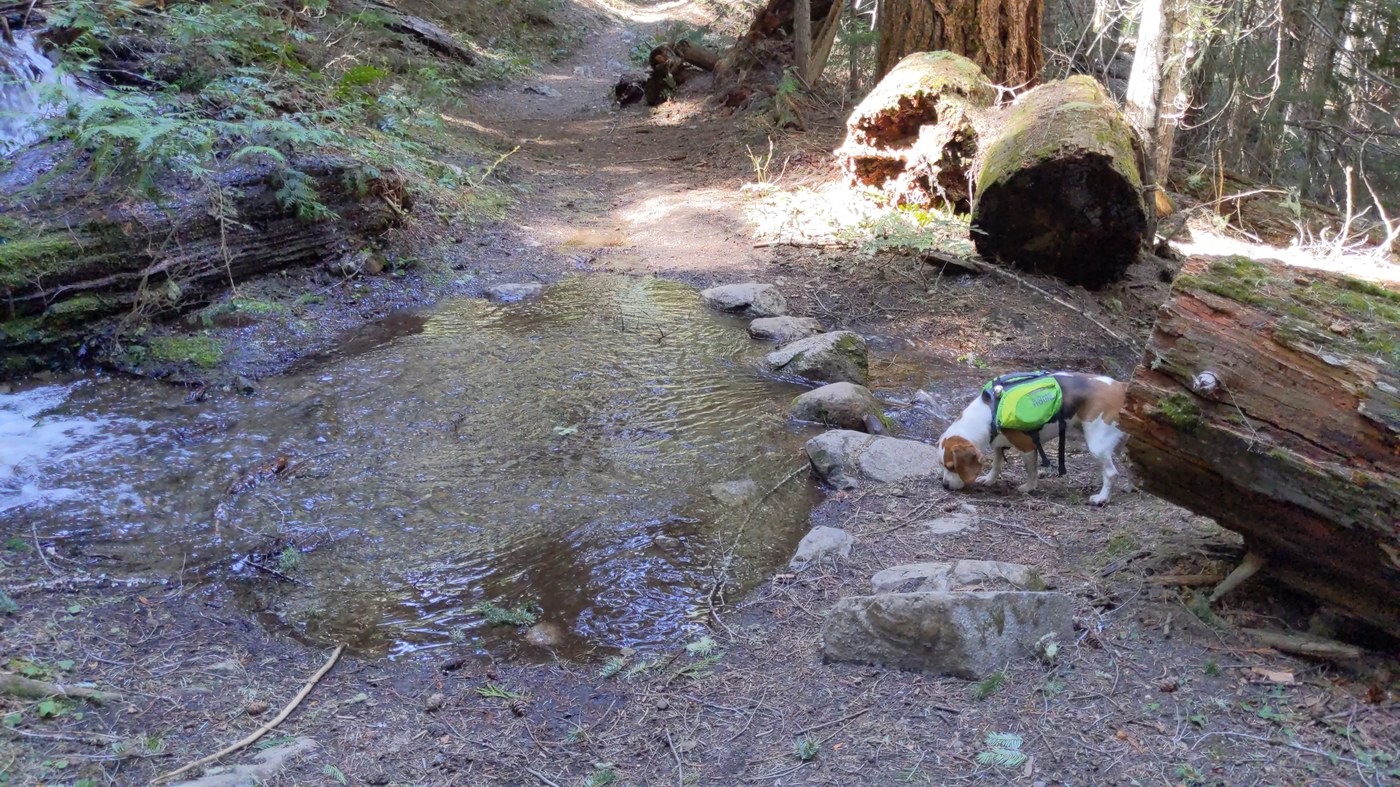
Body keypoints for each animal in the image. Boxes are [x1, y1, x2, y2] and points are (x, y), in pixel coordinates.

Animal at [936, 372, 1128, 505]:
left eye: (952, 467)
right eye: (942, 465)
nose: (944, 486)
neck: (988, 413)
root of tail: (1120, 386)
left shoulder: (1027, 447)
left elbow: (1031, 471)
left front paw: (1028, 488)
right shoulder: (998, 444)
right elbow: (996, 465)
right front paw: (989, 479)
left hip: (1097, 446)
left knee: (1111, 474)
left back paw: (1102, 498)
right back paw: (1131, 487)